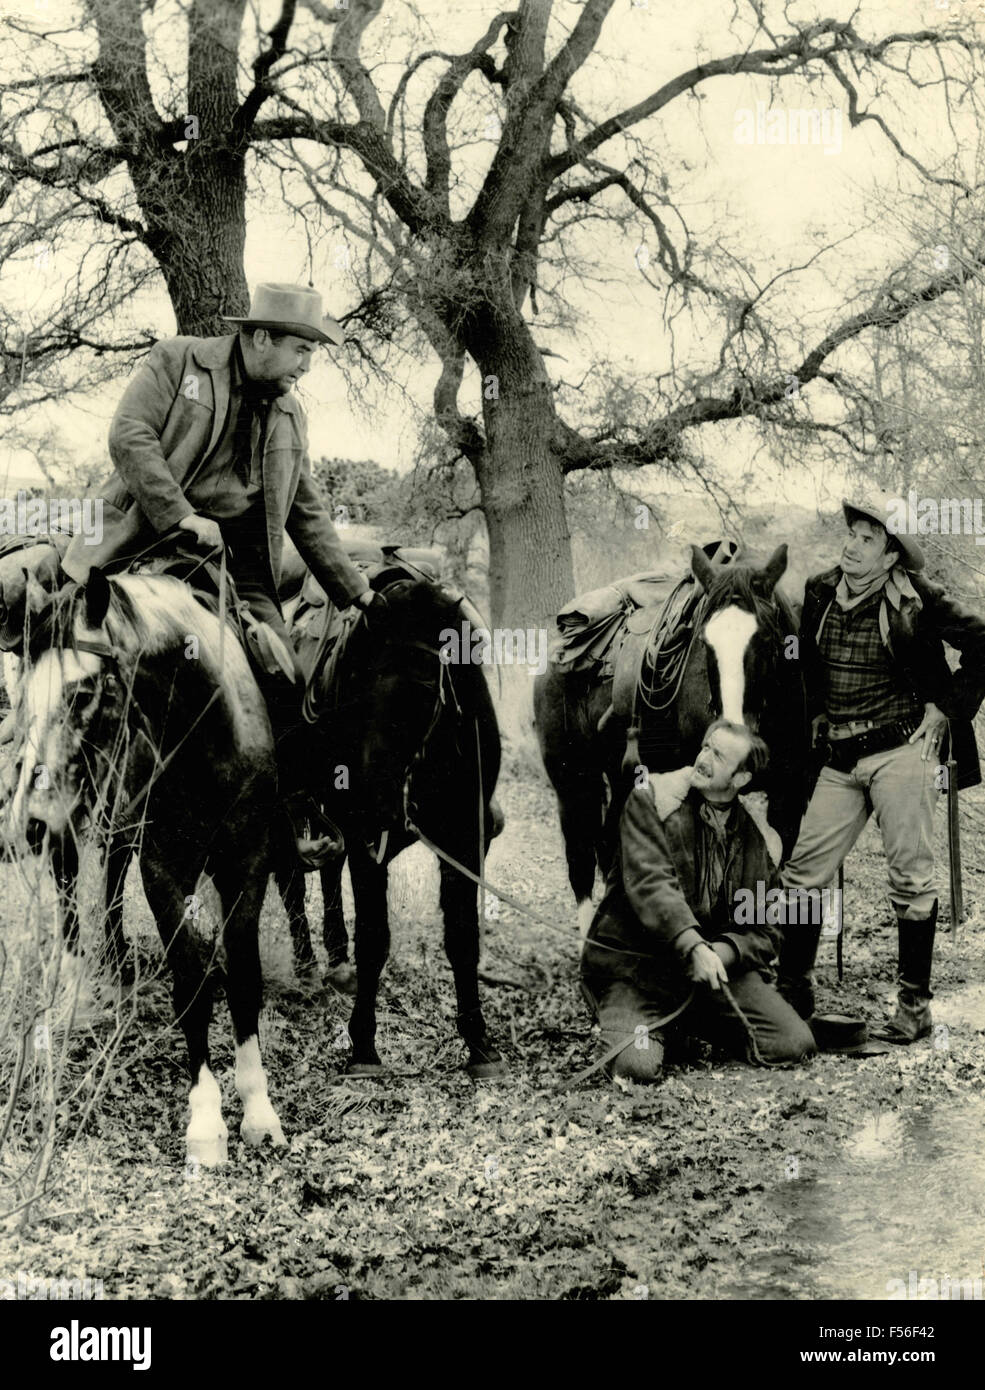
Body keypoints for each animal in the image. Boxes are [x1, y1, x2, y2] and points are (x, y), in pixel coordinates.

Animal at [3, 564, 286, 1162]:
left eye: (84, 691)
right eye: (25, 698)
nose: (28, 821)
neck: (209, 742)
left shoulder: (248, 862)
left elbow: (243, 978)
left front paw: (258, 1109)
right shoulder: (164, 872)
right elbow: (192, 984)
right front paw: (206, 1122)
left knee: (110, 879)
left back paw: (116, 966)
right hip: (73, 830)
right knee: (70, 897)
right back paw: (78, 991)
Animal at [279, 569, 502, 1078]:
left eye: (425, 693)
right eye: (357, 687)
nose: (377, 802)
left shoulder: (464, 840)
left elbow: (462, 937)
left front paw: (478, 1041)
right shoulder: (367, 844)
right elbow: (374, 939)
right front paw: (363, 1046)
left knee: (328, 871)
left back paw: (336, 964)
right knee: (291, 884)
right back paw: (307, 970)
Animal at [533, 536, 805, 939]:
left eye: (767, 638)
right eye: (705, 642)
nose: (730, 736)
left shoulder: (791, 798)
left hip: (622, 776)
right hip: (573, 780)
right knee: (580, 858)